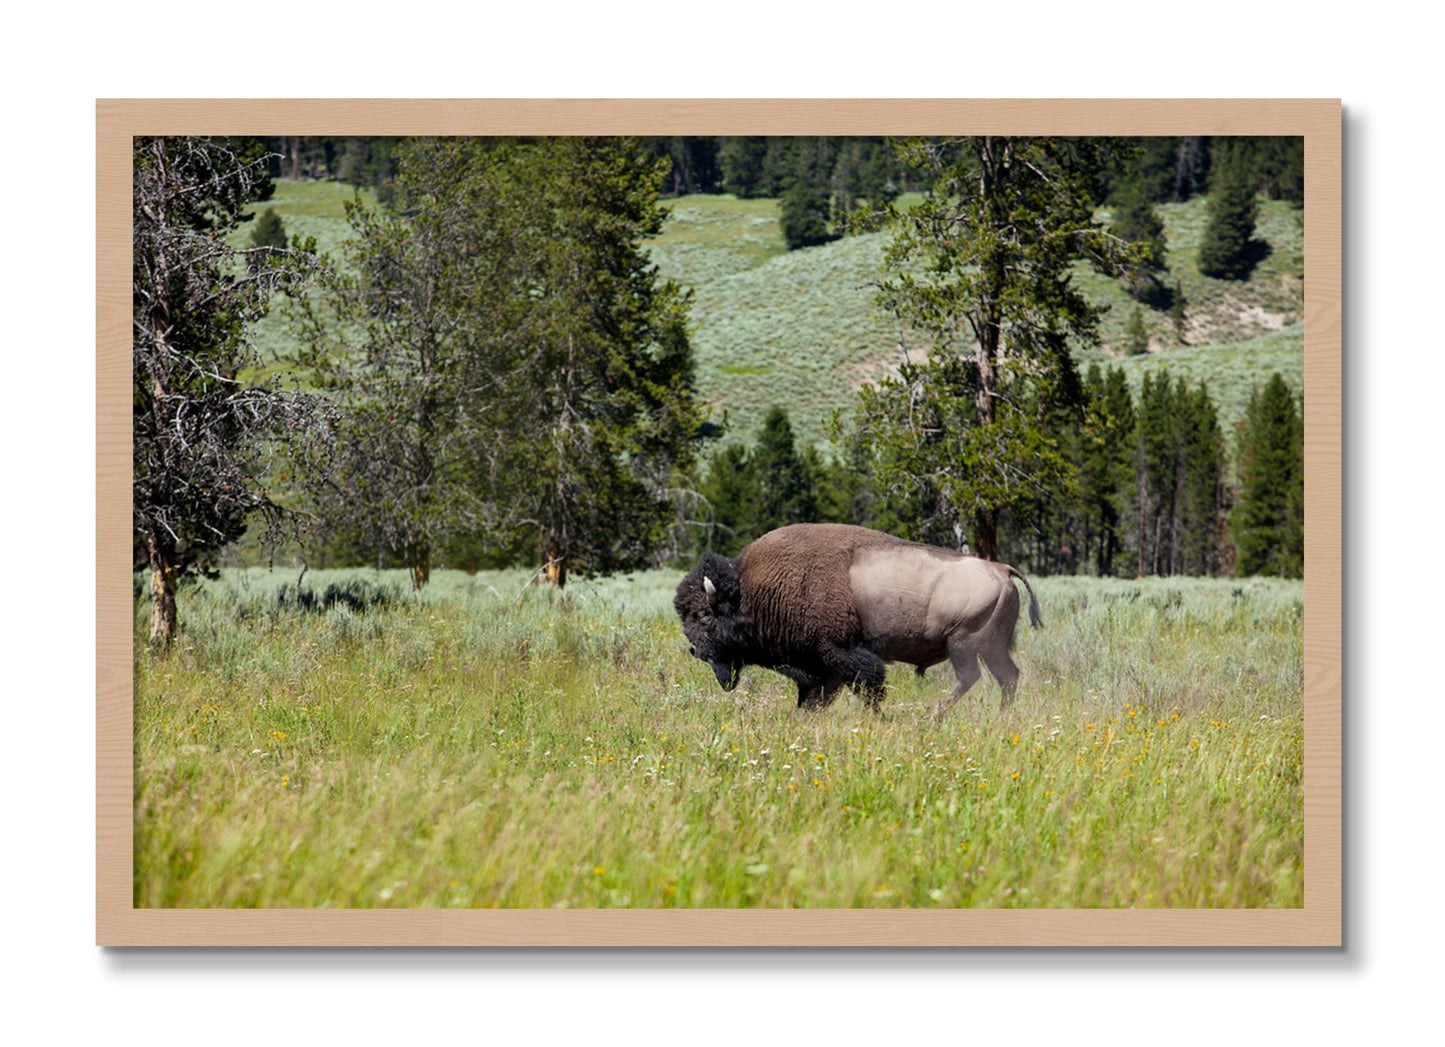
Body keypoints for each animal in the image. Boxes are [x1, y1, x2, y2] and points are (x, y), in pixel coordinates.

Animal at [674, 523, 1042, 721]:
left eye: (702, 615)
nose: (694, 650)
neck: (751, 590)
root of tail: (1001, 569)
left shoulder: (841, 654)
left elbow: (868, 687)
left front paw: (880, 718)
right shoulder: (820, 667)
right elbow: (815, 697)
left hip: (963, 643)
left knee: (970, 677)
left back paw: (933, 715)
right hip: (992, 647)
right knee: (1007, 677)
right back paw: (1000, 718)